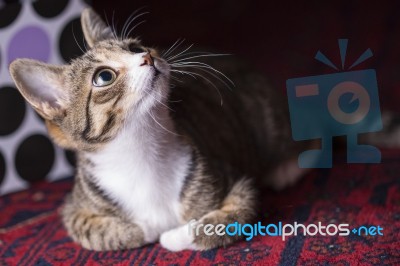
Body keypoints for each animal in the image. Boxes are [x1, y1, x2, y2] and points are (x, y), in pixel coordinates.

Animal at [9, 7, 304, 250]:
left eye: (134, 46)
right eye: (104, 76)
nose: (147, 56)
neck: (141, 149)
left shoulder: (235, 182)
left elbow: (230, 217)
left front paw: (173, 235)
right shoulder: (75, 209)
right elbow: (103, 231)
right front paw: (147, 228)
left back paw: (286, 168)